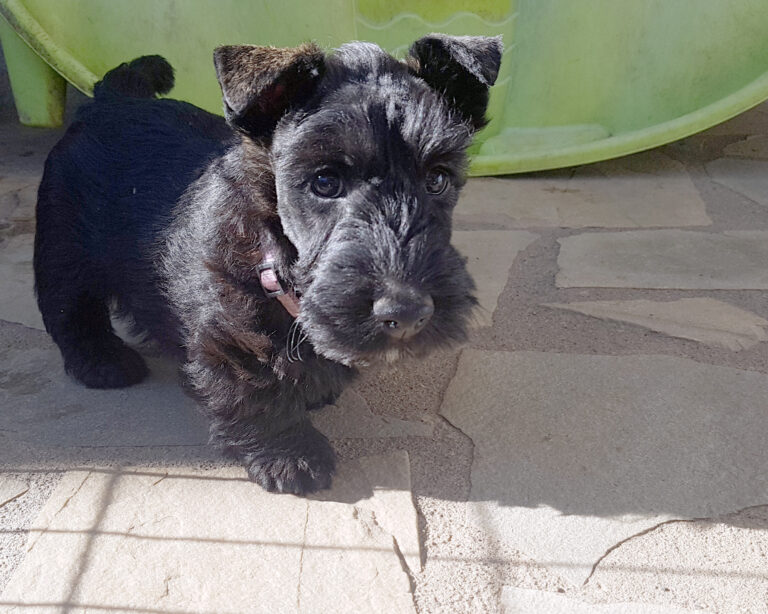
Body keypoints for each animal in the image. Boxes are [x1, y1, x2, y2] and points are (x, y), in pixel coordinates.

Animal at [33, 35, 504, 496]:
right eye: (325, 181)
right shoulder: (236, 333)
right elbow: (258, 389)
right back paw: (103, 361)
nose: (406, 313)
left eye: (437, 179)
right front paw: (290, 455)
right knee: (70, 311)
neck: (278, 257)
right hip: (62, 251)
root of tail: (111, 100)